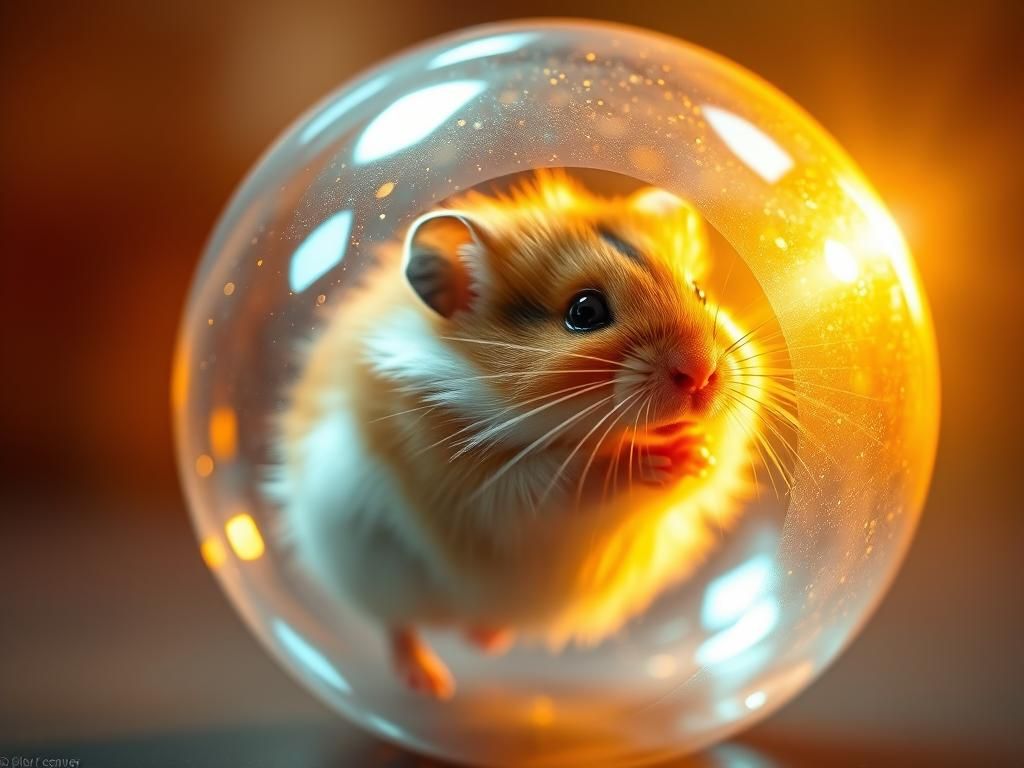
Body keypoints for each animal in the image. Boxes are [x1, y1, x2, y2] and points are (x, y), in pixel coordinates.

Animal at [268, 170, 763, 699]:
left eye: (700, 291)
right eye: (584, 312)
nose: (702, 375)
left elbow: (704, 471)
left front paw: (699, 451)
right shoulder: (487, 487)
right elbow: (573, 480)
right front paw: (670, 454)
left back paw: (485, 640)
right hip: (367, 571)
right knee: (397, 625)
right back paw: (431, 683)